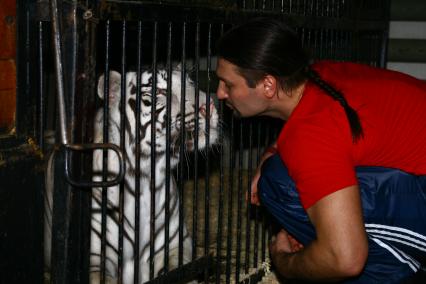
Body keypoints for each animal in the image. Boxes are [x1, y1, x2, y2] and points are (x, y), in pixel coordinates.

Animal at [91, 67, 220, 284]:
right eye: (159, 92)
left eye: (190, 82)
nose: (208, 106)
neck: (144, 180)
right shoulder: (95, 260)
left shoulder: (177, 245)